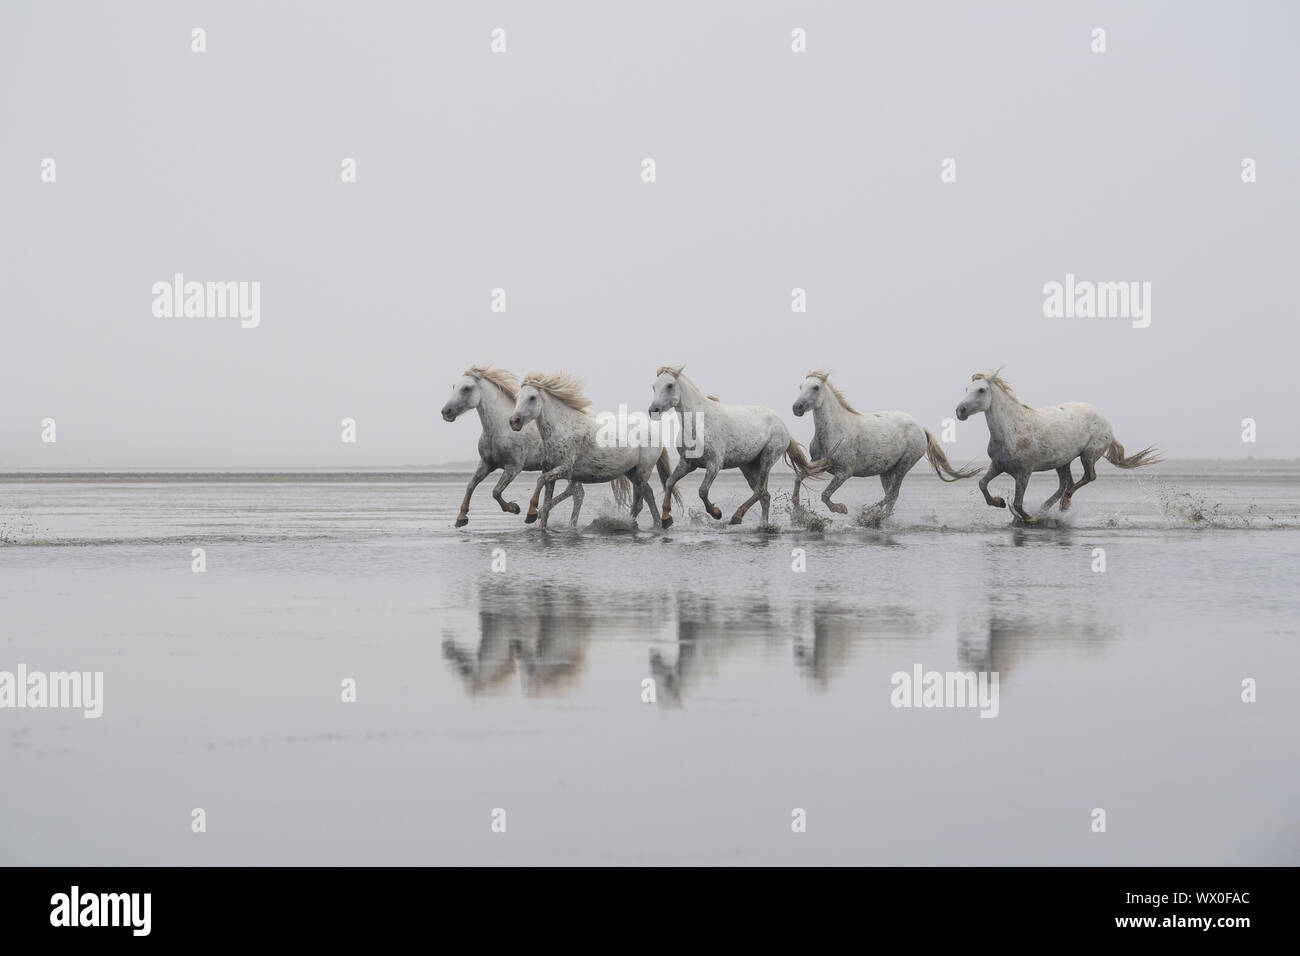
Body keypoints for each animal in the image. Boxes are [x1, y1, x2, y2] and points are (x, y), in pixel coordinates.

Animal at [441, 369, 585, 530]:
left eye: (466, 388)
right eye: (454, 386)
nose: (446, 412)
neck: (499, 428)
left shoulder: (513, 467)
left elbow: (496, 491)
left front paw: (515, 508)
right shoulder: (486, 464)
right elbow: (470, 485)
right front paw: (461, 518)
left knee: (577, 493)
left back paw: (549, 517)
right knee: (575, 492)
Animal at [647, 369, 837, 530]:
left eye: (669, 385)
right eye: (654, 386)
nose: (653, 410)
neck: (699, 423)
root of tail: (782, 425)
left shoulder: (714, 464)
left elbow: (702, 491)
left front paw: (716, 513)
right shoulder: (687, 463)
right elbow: (670, 482)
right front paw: (666, 519)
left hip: (767, 459)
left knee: (760, 491)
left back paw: (736, 517)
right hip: (747, 466)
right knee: (764, 496)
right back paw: (762, 525)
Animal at [780, 371, 977, 520]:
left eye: (816, 387)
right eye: (800, 386)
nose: (797, 407)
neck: (836, 429)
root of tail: (921, 428)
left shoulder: (844, 472)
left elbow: (825, 495)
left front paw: (840, 509)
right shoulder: (819, 464)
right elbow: (799, 477)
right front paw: (797, 509)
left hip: (903, 467)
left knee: (891, 495)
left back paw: (869, 513)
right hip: (886, 471)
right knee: (891, 497)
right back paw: (882, 519)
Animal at [956, 374, 1159, 522]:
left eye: (981, 390)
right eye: (966, 389)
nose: (960, 411)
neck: (1012, 429)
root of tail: (1105, 420)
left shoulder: (1024, 473)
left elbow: (1018, 503)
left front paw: (1030, 519)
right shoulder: (998, 465)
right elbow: (982, 484)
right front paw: (998, 502)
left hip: (1088, 455)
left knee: (1088, 477)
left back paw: (1064, 503)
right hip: (1062, 462)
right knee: (1065, 484)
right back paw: (1049, 507)